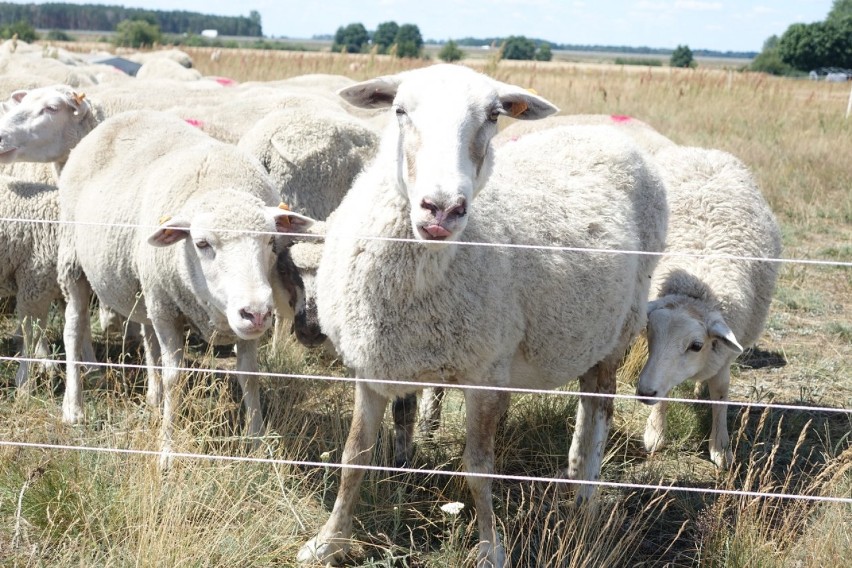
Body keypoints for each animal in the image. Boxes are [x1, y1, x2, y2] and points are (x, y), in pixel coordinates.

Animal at [55, 111, 316, 466]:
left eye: (270, 242)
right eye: (202, 243)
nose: (256, 312)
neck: (220, 184)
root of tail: (120, 117)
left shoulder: (233, 325)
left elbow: (249, 375)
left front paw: (258, 444)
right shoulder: (168, 311)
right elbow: (175, 377)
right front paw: (167, 452)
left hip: (145, 289)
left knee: (147, 334)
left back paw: (153, 398)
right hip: (74, 261)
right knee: (73, 328)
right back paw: (74, 407)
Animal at [296, 63, 668, 568]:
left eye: (493, 116)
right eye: (399, 110)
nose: (443, 208)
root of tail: (610, 135)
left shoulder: (485, 373)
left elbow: (478, 469)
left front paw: (491, 548)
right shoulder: (372, 367)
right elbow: (354, 457)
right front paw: (328, 541)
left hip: (621, 326)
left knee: (601, 408)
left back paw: (586, 497)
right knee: (587, 401)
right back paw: (573, 472)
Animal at [632, 144, 780, 468]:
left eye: (696, 345)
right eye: (650, 334)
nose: (644, 391)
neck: (696, 290)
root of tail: (703, 150)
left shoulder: (724, 355)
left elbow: (721, 393)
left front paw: (720, 447)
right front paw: (655, 432)